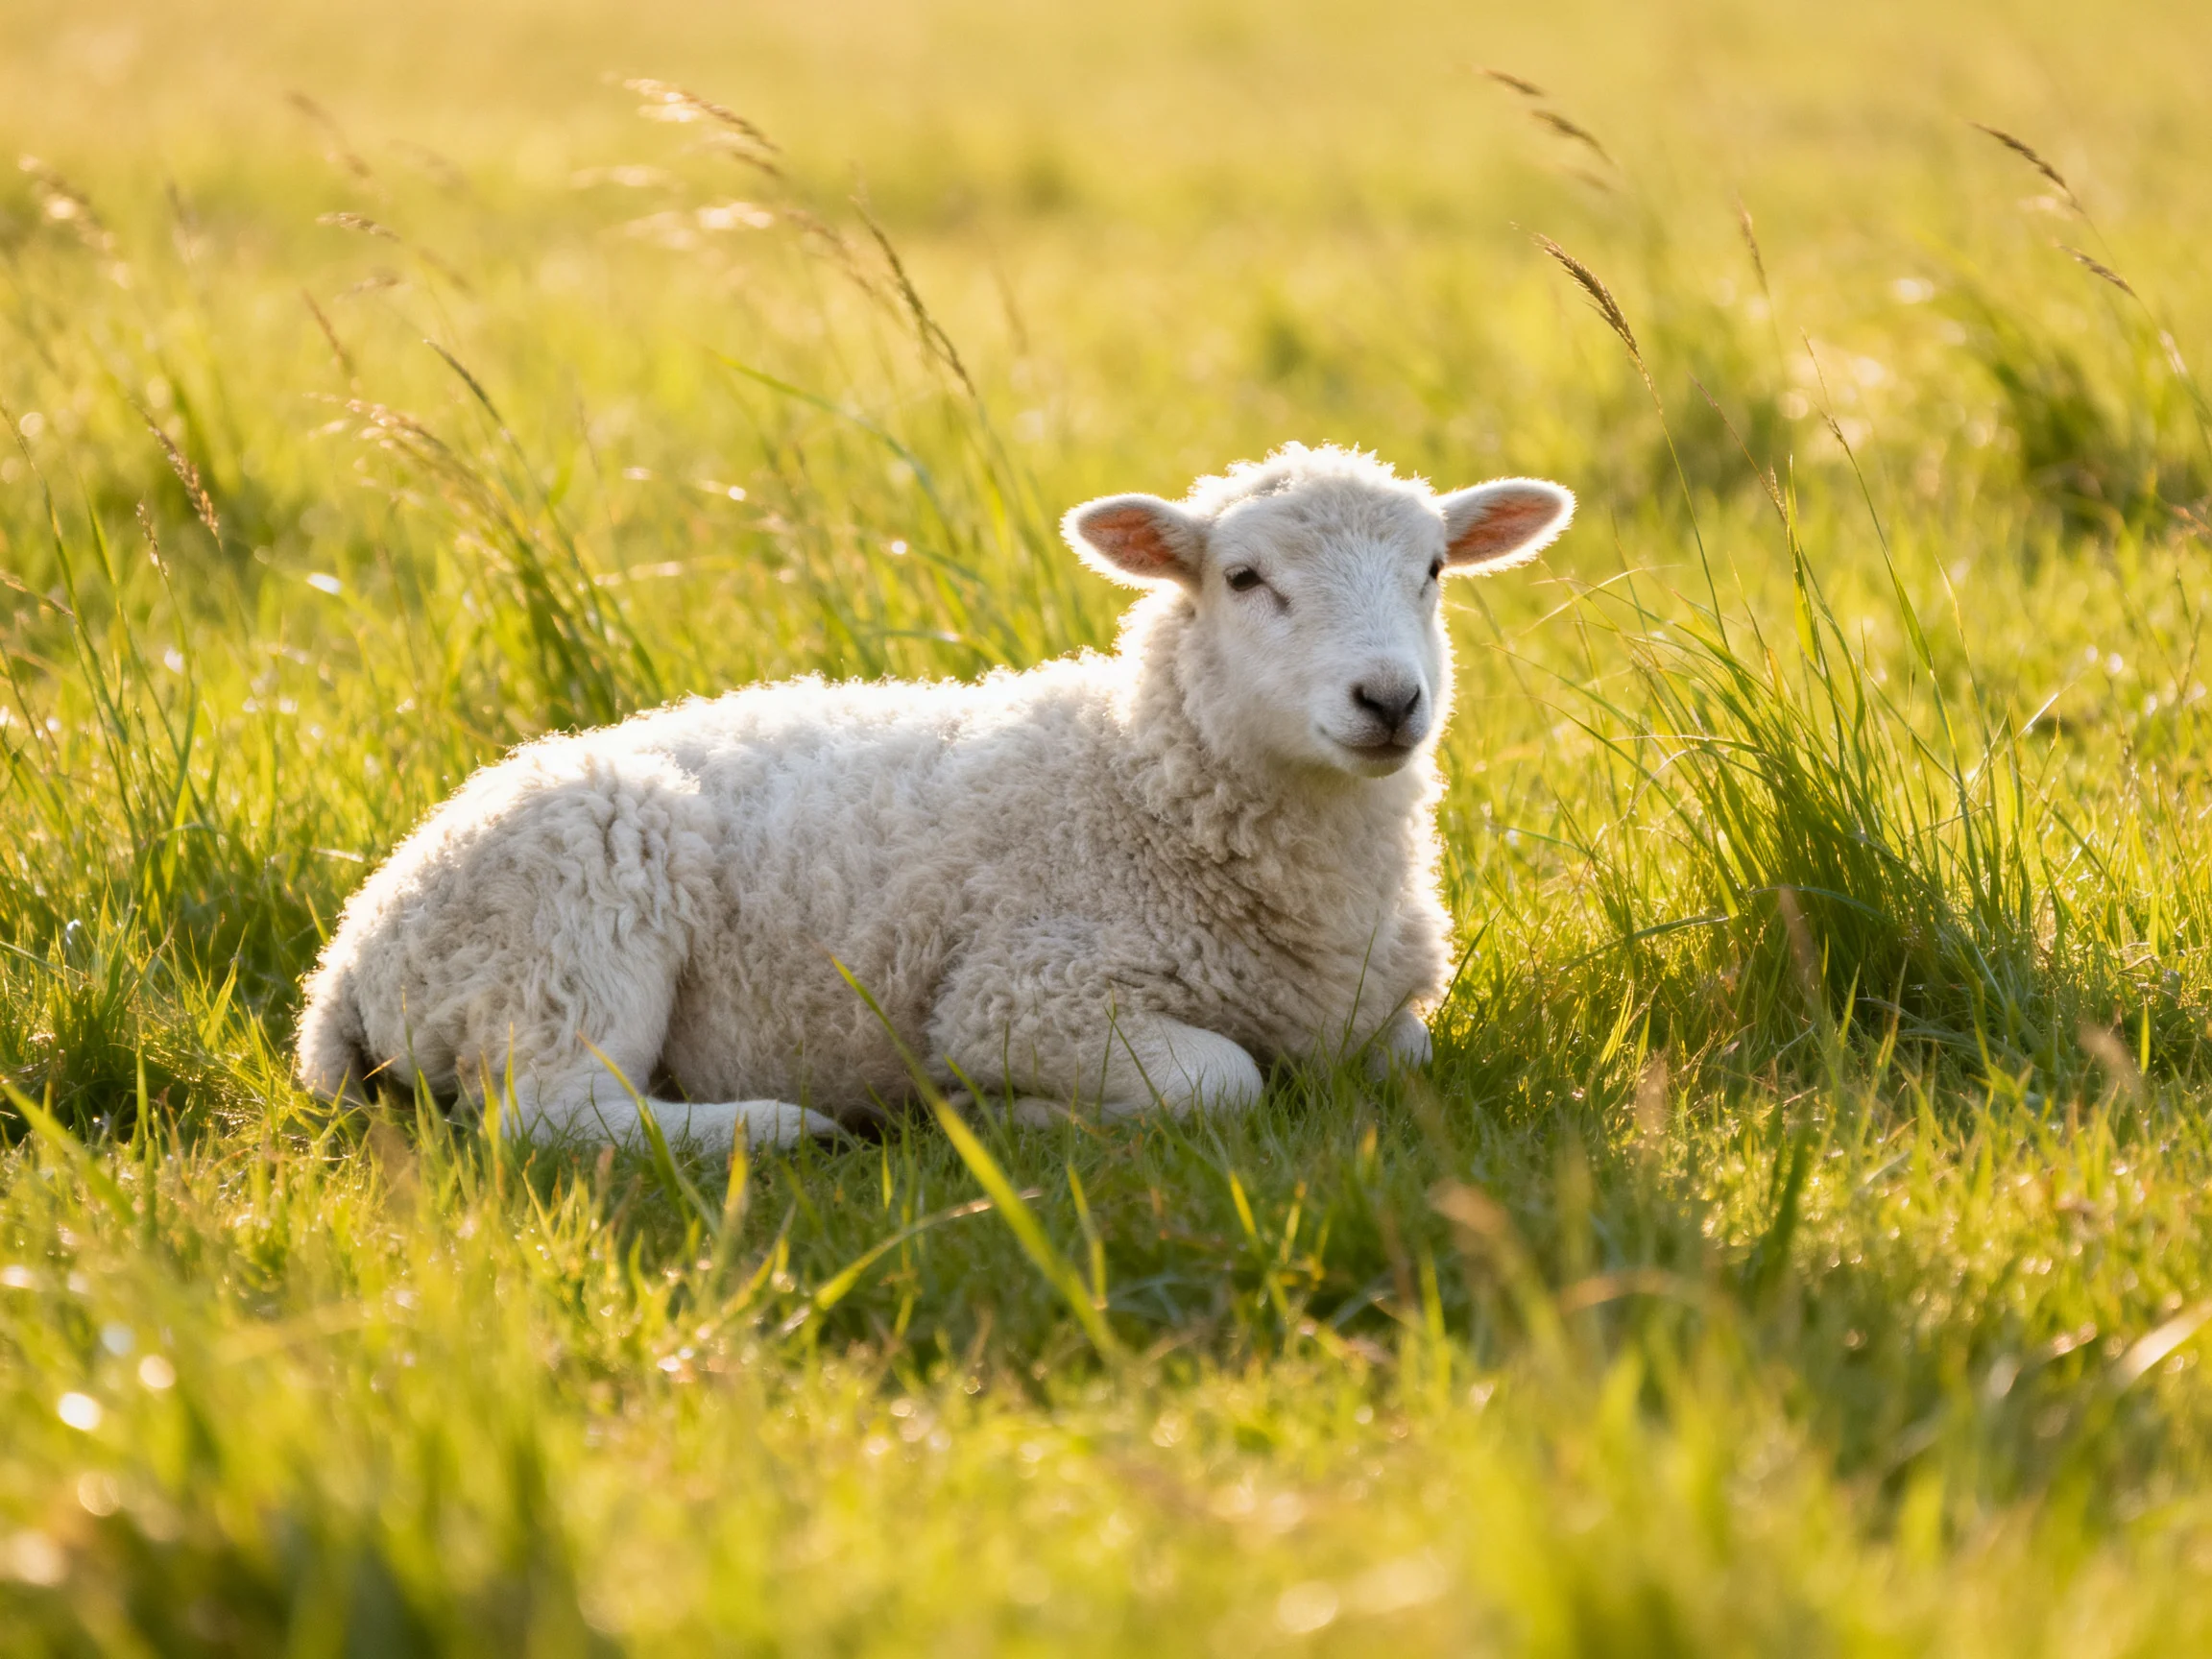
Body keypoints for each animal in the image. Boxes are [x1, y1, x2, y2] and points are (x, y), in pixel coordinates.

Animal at [294, 443, 1573, 1149]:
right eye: (1246, 578)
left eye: (1434, 570)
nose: (1390, 700)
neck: (1139, 781)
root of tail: (352, 950)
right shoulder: (1025, 994)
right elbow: (1224, 1082)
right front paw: (1001, 1117)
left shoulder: (1375, 1021)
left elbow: (1401, 1057)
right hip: (572, 922)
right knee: (548, 1118)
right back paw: (786, 1131)